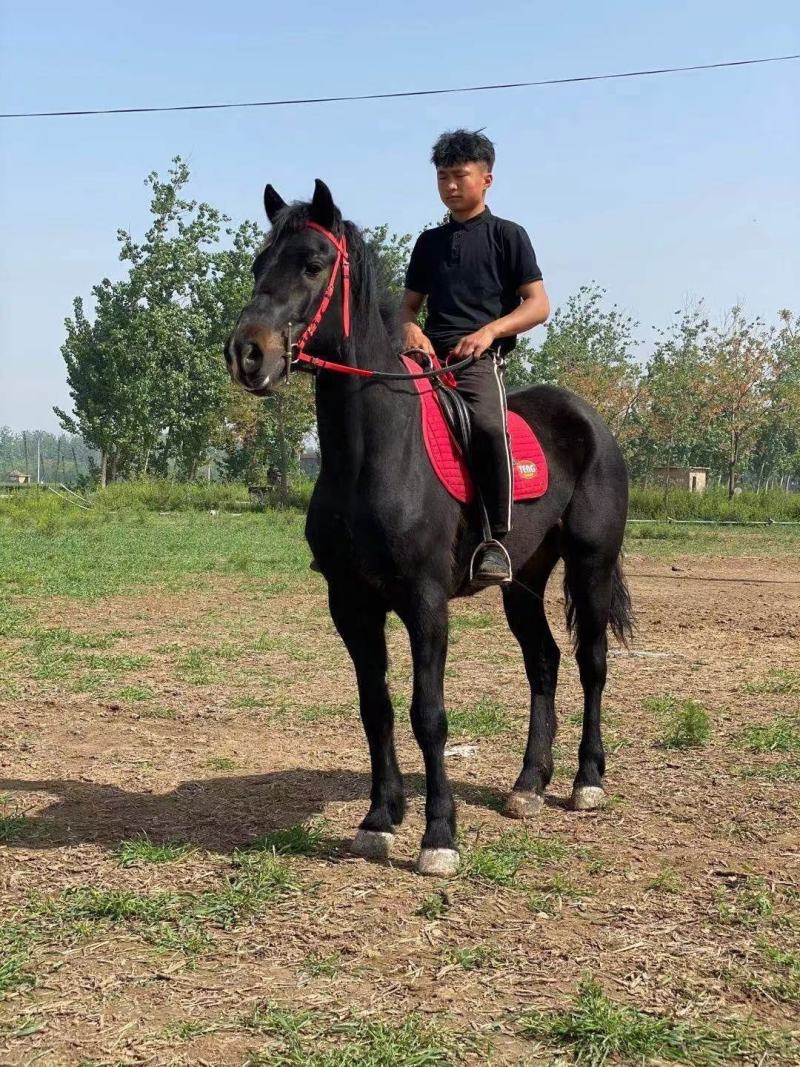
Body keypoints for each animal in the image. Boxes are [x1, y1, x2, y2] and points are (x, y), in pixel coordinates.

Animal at [225, 179, 633, 877]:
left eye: (312, 264)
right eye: (258, 264)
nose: (248, 353)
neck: (374, 456)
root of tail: (591, 421)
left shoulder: (424, 601)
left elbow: (428, 713)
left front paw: (439, 835)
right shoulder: (350, 603)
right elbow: (377, 708)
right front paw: (379, 819)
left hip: (591, 564)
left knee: (591, 661)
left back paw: (586, 782)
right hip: (523, 579)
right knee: (544, 663)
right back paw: (529, 785)